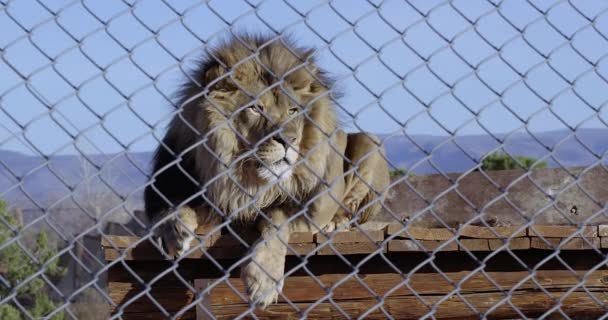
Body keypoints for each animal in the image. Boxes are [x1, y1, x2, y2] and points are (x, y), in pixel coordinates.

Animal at [143, 33, 390, 308]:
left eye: (293, 111)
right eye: (256, 108)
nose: (289, 140)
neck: (244, 179)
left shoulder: (304, 211)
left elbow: (276, 218)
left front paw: (263, 280)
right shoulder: (165, 185)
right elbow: (170, 207)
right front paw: (175, 231)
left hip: (371, 143)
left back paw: (336, 223)